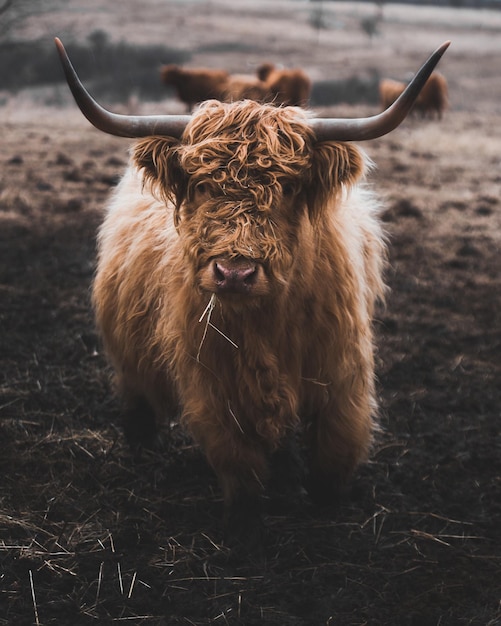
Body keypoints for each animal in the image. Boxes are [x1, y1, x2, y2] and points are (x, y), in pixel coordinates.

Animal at [54, 39, 450, 544]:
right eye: (201, 185)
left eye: (288, 188)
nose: (234, 274)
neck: (267, 324)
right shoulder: (214, 383)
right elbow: (237, 463)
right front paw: (243, 527)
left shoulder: (342, 375)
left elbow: (336, 450)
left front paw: (327, 507)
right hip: (128, 359)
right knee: (136, 397)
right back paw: (140, 446)